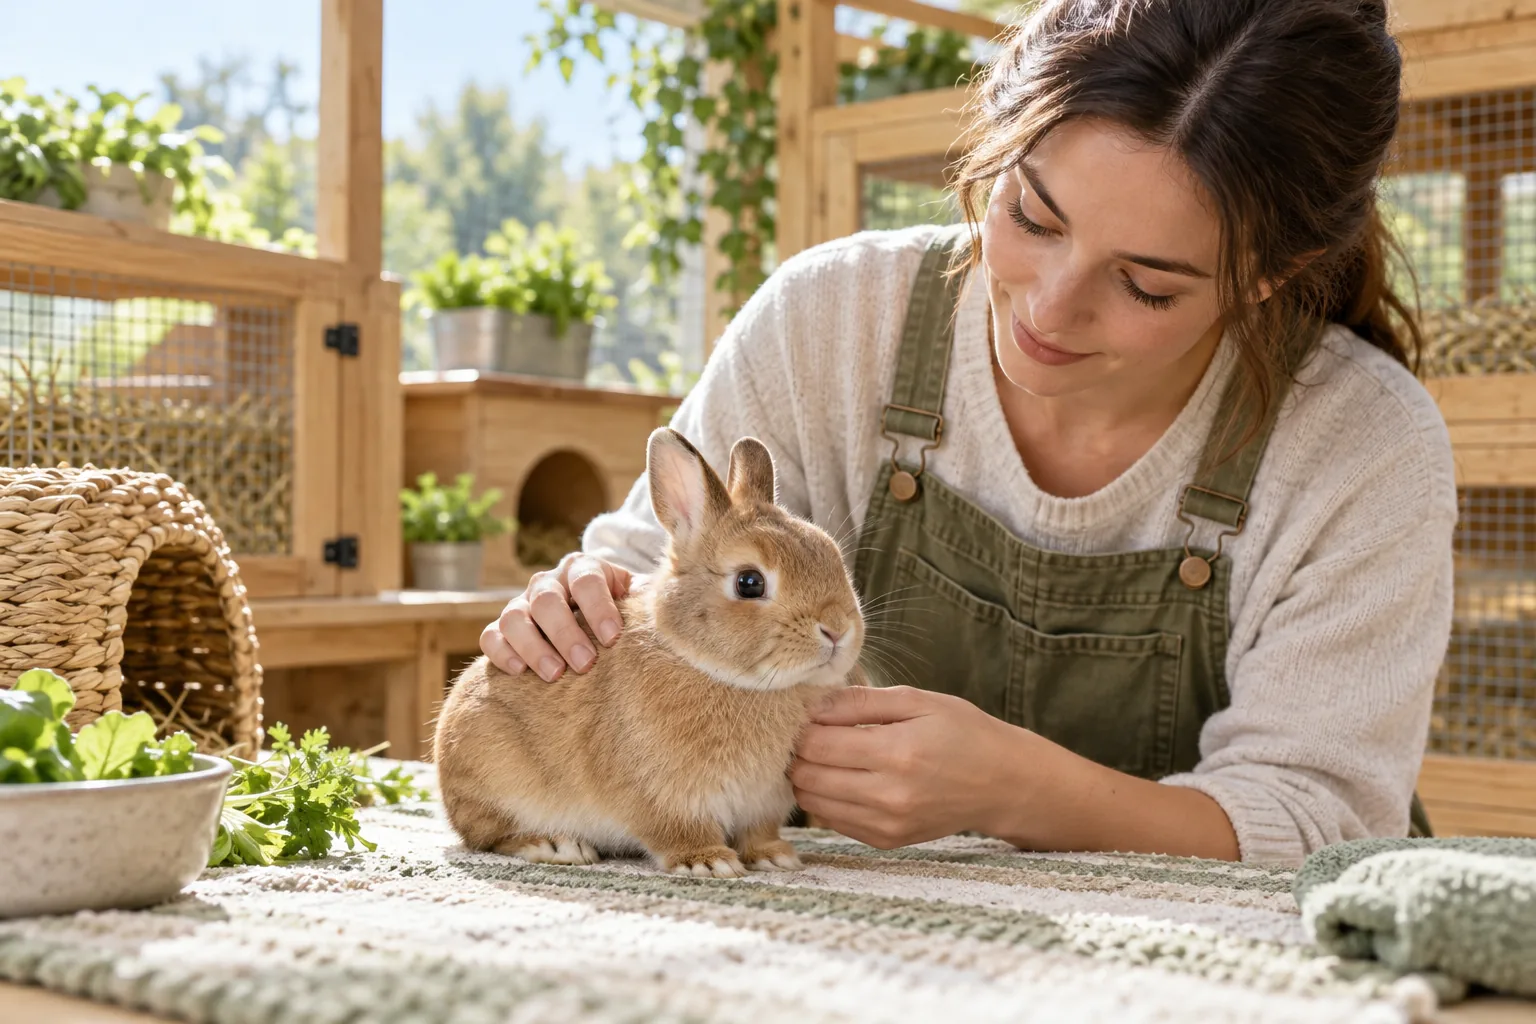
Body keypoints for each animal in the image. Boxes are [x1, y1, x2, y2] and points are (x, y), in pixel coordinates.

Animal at [433, 427, 865, 878]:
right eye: (750, 582)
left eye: (833, 555)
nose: (838, 630)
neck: (710, 668)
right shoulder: (663, 795)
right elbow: (675, 829)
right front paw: (708, 862)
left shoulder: (761, 804)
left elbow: (759, 832)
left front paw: (775, 856)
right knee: (490, 836)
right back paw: (554, 845)